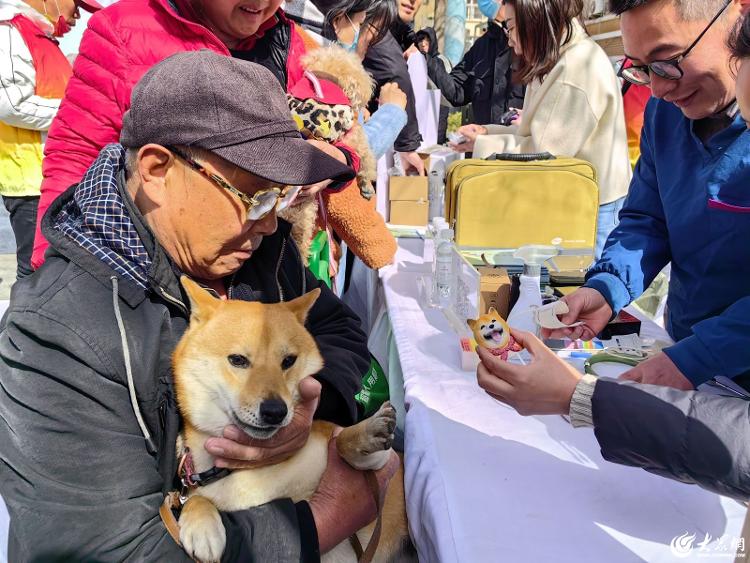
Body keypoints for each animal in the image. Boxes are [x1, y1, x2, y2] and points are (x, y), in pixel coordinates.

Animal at [173, 278, 414, 563]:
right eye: (237, 360)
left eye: (288, 361)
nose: (275, 411)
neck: (254, 476)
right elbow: (196, 499)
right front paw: (202, 527)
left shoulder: (377, 463)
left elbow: (342, 441)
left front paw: (367, 435)